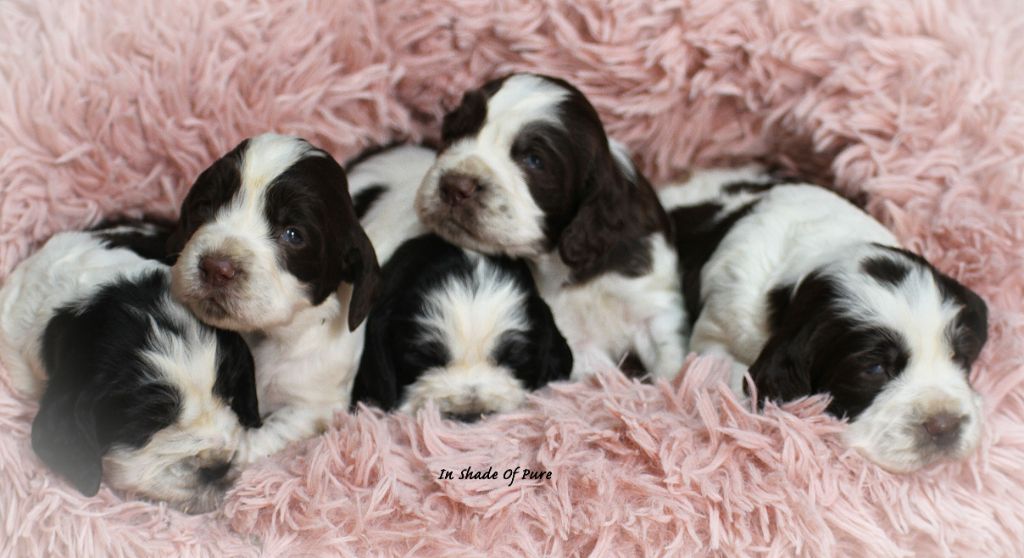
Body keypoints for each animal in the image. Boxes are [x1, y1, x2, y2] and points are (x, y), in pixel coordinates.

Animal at [167, 133, 380, 462]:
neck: (264, 335)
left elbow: (264, 435)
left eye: (293, 235)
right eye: (204, 207)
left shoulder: (313, 405)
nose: (216, 267)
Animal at [411, 72, 684, 378]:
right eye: (454, 134)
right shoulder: (573, 339)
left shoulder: (654, 305)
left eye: (534, 160)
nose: (454, 187)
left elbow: (670, 361)